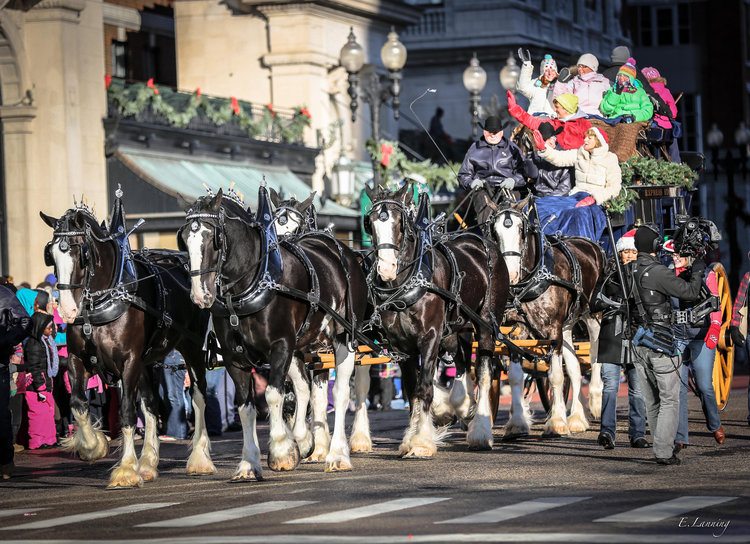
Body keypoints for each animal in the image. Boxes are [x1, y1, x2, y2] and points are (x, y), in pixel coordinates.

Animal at [40, 198, 213, 486]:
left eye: (79, 252)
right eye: (50, 254)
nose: (66, 310)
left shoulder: (128, 361)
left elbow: (126, 412)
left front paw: (125, 469)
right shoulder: (78, 360)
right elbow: (78, 403)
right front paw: (93, 446)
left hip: (192, 349)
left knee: (199, 397)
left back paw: (199, 459)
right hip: (147, 361)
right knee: (152, 404)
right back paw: (148, 463)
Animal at [182, 188, 370, 480]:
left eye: (214, 238)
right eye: (184, 240)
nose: (201, 295)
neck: (252, 284)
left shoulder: (281, 345)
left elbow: (273, 394)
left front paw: (281, 450)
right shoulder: (234, 357)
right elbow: (246, 406)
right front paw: (249, 462)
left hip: (343, 338)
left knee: (340, 392)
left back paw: (338, 453)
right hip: (303, 344)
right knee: (305, 389)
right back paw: (305, 439)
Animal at [364, 184, 512, 454]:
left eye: (400, 222)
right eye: (369, 223)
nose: (386, 269)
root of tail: (484, 242)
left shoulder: (430, 337)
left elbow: (424, 387)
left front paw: (421, 442)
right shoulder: (402, 347)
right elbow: (412, 390)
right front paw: (413, 436)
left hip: (486, 322)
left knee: (485, 371)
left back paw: (480, 431)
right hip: (457, 328)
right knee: (463, 361)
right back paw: (462, 406)